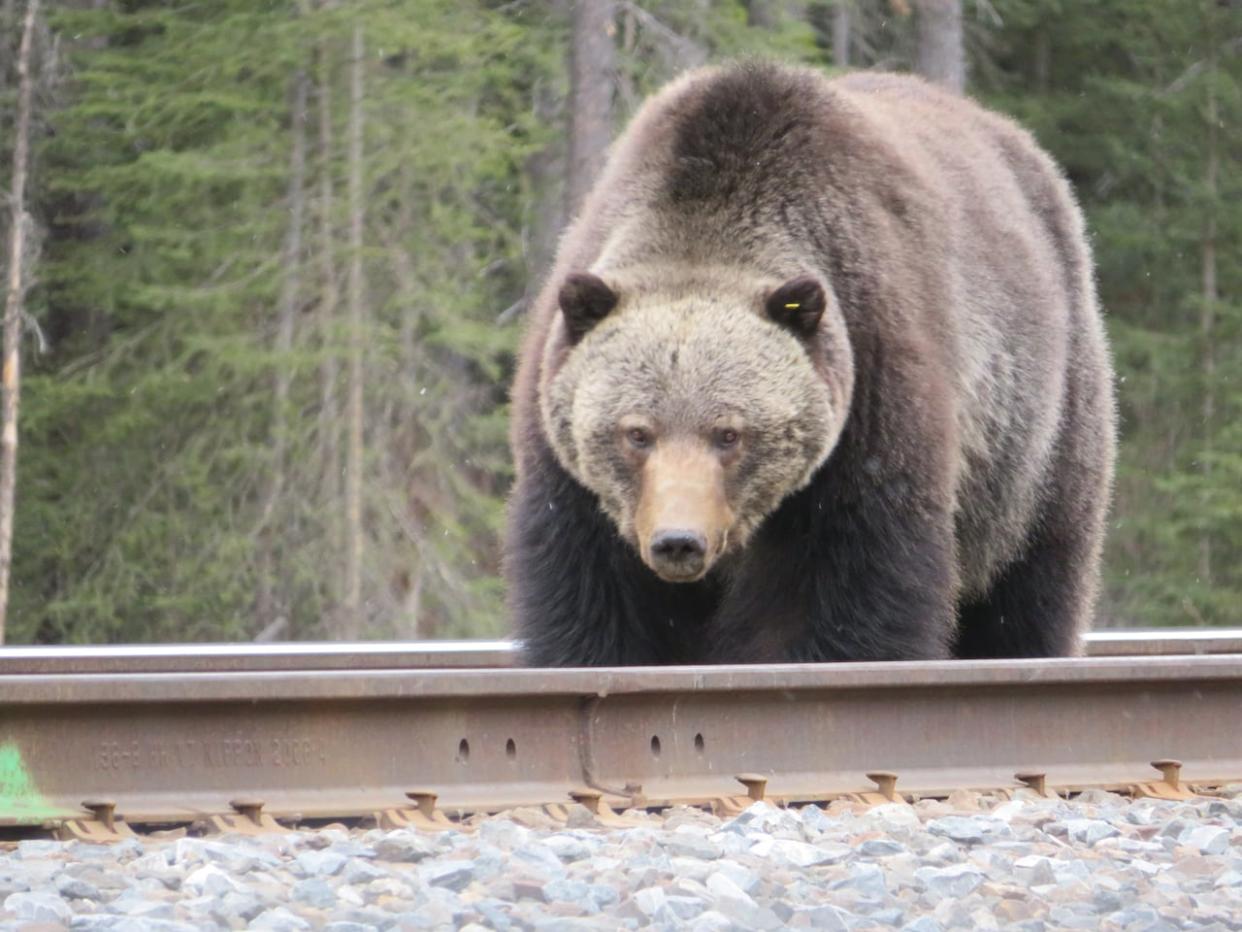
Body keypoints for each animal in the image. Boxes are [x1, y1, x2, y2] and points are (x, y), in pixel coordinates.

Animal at [504, 62, 1117, 666]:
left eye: (729, 433)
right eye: (636, 433)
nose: (679, 541)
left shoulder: (869, 393)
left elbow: (841, 587)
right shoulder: (572, 466)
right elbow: (593, 597)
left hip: (1038, 427)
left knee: (1030, 580)